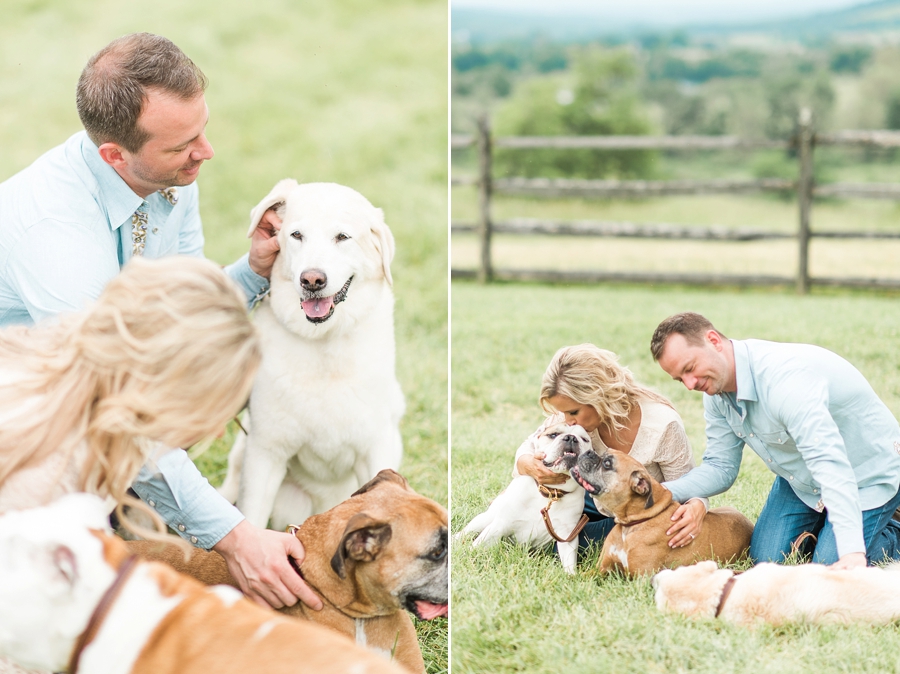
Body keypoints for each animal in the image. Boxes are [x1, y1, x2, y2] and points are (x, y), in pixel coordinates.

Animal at [218, 181, 404, 528]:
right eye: (296, 235)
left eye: (342, 237)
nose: (312, 279)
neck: (322, 343)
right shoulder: (265, 454)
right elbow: (251, 521)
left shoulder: (375, 449)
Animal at [458, 420, 592, 572]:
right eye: (553, 435)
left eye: (585, 439)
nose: (571, 438)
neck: (551, 492)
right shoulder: (500, 525)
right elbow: (476, 546)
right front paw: (464, 558)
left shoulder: (567, 535)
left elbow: (569, 562)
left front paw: (570, 575)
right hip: (484, 519)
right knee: (465, 532)